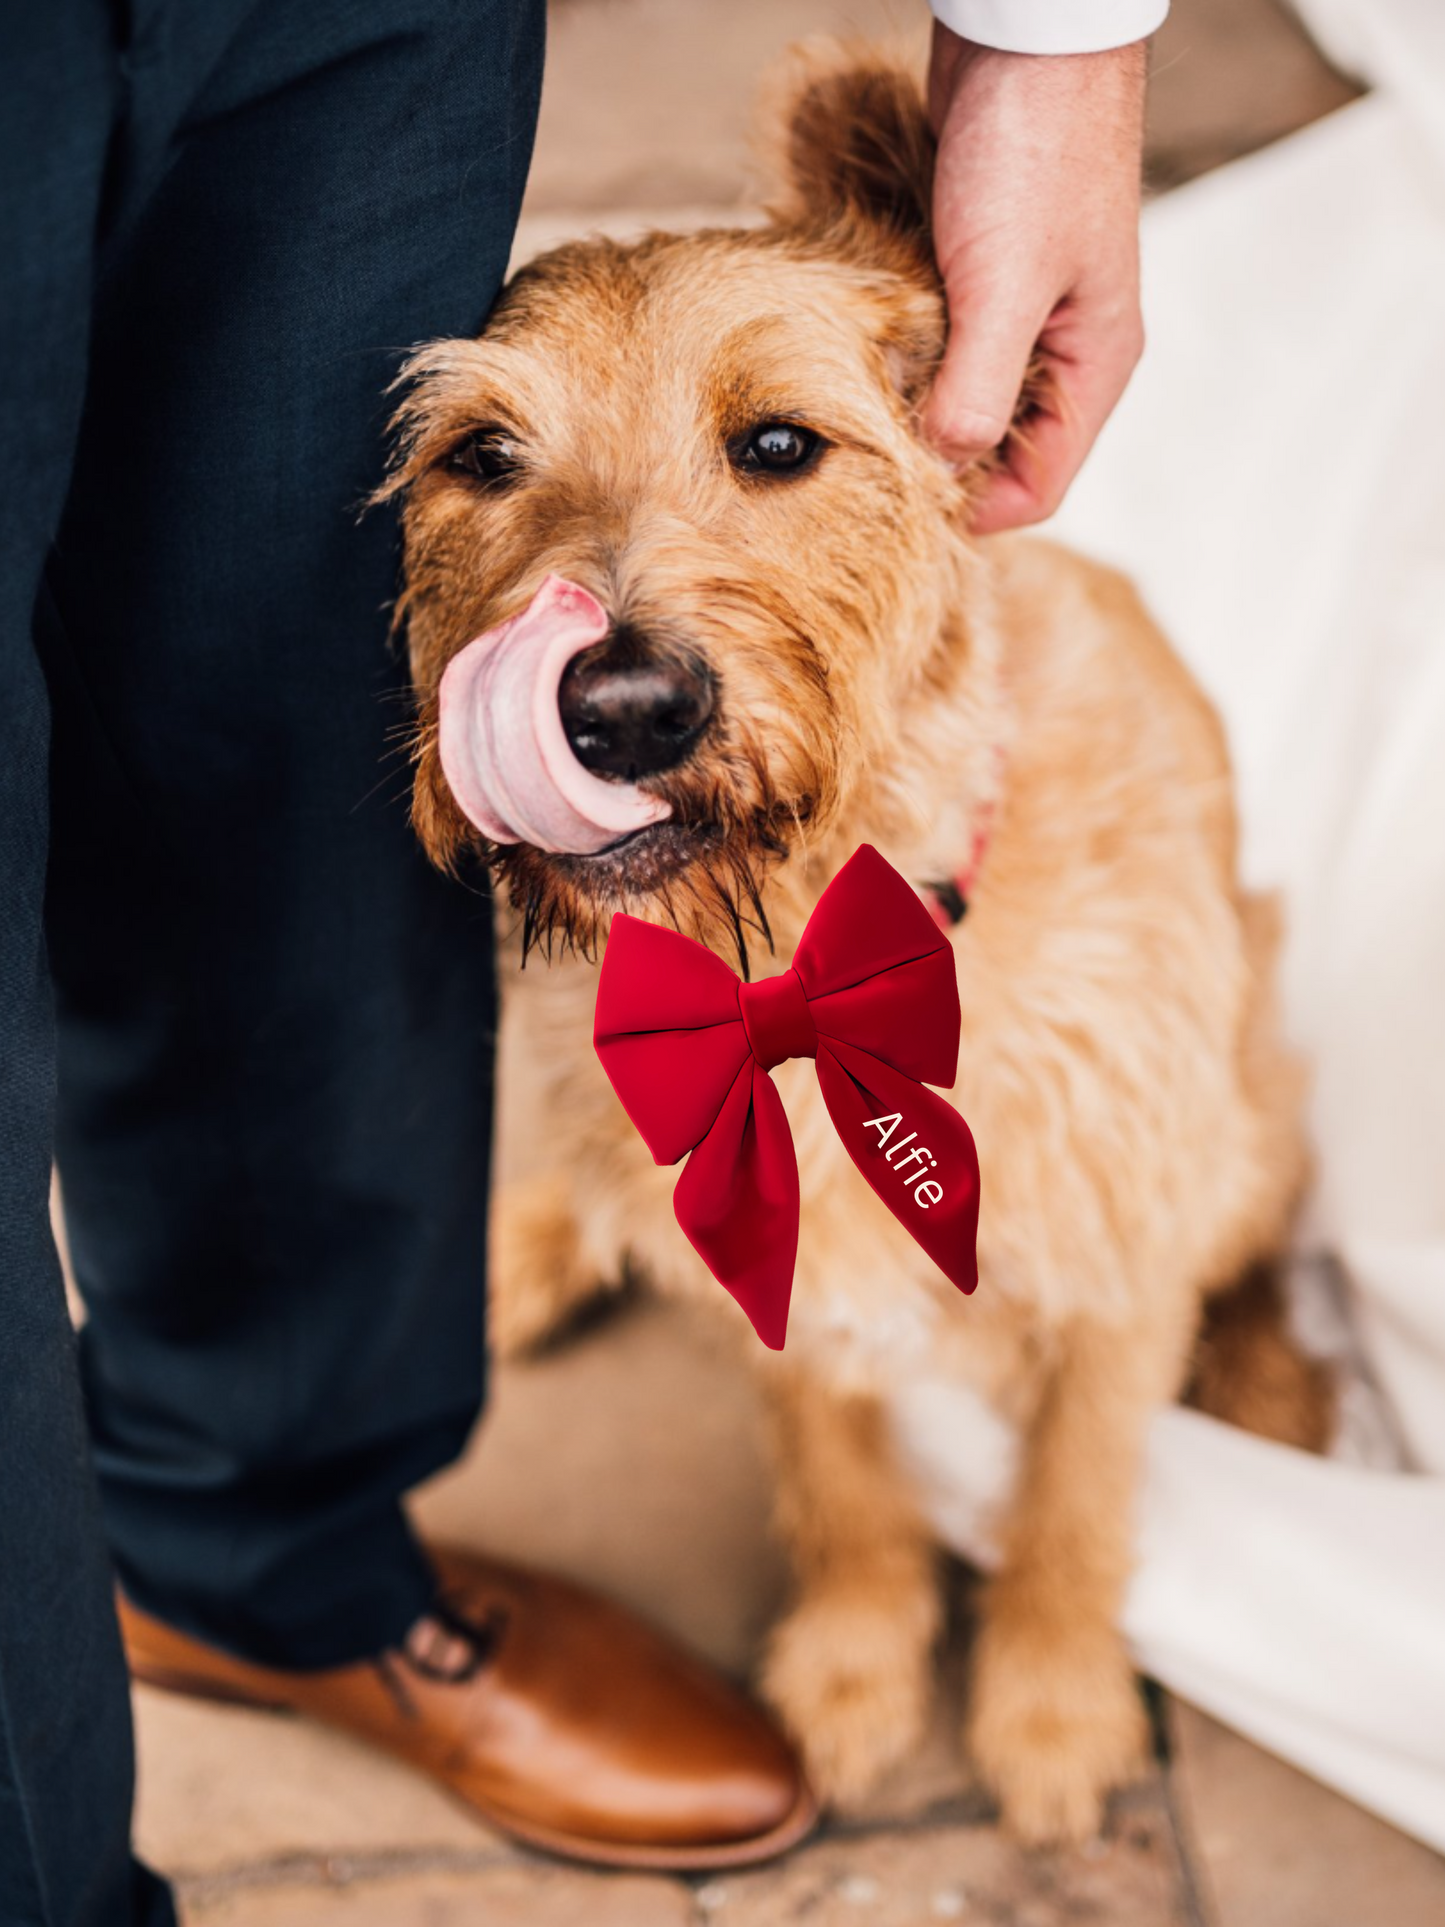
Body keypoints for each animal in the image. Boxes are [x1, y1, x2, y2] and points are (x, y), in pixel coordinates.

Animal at [387, 45, 1333, 1842]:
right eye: (479, 456)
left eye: (778, 442)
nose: (618, 705)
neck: (810, 977)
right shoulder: (763, 1269)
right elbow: (842, 1481)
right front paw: (851, 1668)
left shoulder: (1114, 1271)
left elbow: (1074, 1500)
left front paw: (1048, 1705)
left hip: (1248, 1100)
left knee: (1263, 1215)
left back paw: (1271, 1383)